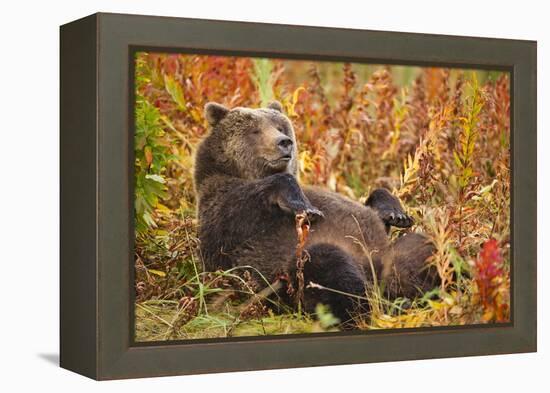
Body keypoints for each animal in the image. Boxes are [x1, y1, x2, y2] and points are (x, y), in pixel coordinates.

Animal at [195, 99, 440, 324]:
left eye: (280, 126)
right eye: (255, 130)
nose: (284, 142)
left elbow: (375, 208)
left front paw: (397, 213)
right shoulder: (227, 209)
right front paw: (307, 207)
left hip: (394, 256)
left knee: (422, 248)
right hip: (294, 276)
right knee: (329, 267)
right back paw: (388, 304)